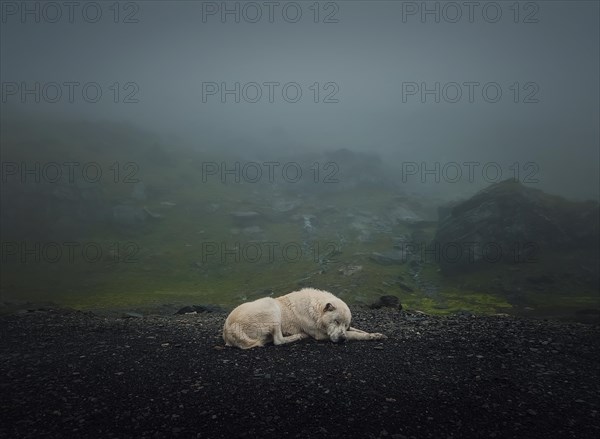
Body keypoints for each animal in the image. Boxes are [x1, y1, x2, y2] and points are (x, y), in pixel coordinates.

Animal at [223, 288, 386, 350]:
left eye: (345, 324)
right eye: (336, 321)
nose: (342, 339)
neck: (316, 310)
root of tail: (229, 330)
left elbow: (357, 330)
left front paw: (376, 334)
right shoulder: (321, 335)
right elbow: (355, 334)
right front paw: (368, 337)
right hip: (271, 306)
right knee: (278, 340)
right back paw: (299, 336)